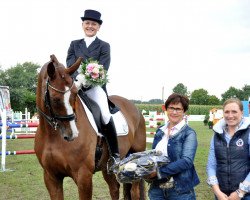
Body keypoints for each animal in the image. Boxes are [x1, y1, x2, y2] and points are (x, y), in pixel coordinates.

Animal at [34, 55, 146, 200]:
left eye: (75, 94)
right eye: (55, 99)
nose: (72, 134)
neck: (52, 135)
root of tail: (135, 108)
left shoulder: (83, 175)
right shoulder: (51, 176)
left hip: (134, 160)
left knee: (134, 192)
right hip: (107, 168)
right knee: (114, 188)